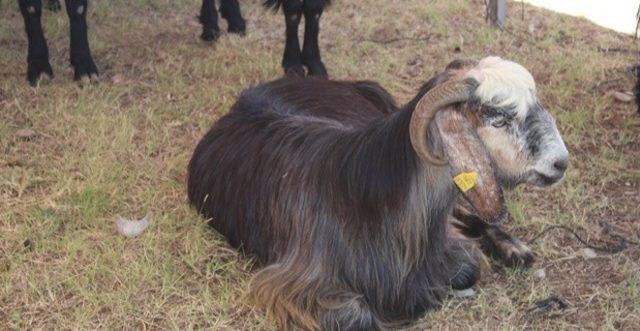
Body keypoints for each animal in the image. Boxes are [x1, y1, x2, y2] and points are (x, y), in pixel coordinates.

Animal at [186, 55, 568, 330]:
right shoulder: (290, 281)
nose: (560, 163)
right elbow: (359, 320)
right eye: (498, 117)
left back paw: (516, 249)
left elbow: (467, 267)